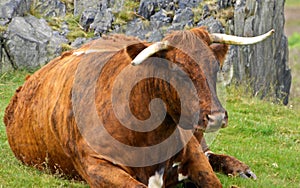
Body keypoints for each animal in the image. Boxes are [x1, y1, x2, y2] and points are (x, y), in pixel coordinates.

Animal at [4, 26, 272, 188]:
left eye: (215, 67)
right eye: (176, 69)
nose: (216, 117)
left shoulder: (193, 152)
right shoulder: (95, 164)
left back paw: (242, 169)